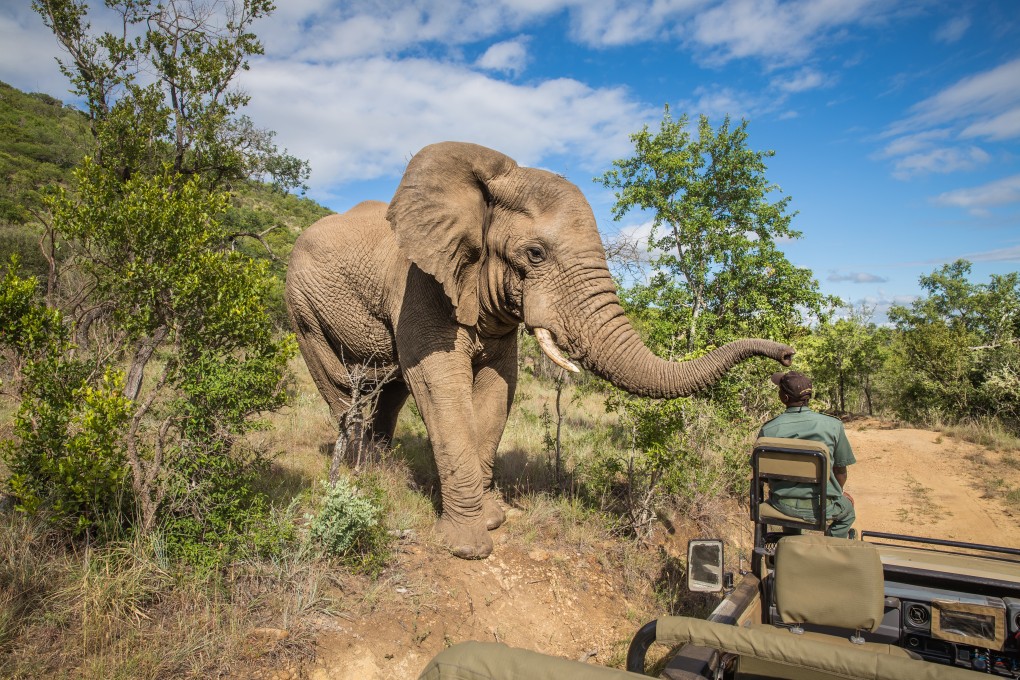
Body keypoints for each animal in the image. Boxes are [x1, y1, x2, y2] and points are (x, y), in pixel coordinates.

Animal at [285, 141, 794, 559]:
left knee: (388, 393)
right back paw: (362, 475)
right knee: (344, 388)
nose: (788, 356)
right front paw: (468, 547)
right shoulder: (418, 284)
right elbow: (438, 383)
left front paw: (493, 518)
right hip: (303, 310)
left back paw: (382, 469)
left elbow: (498, 387)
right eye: (535, 254)